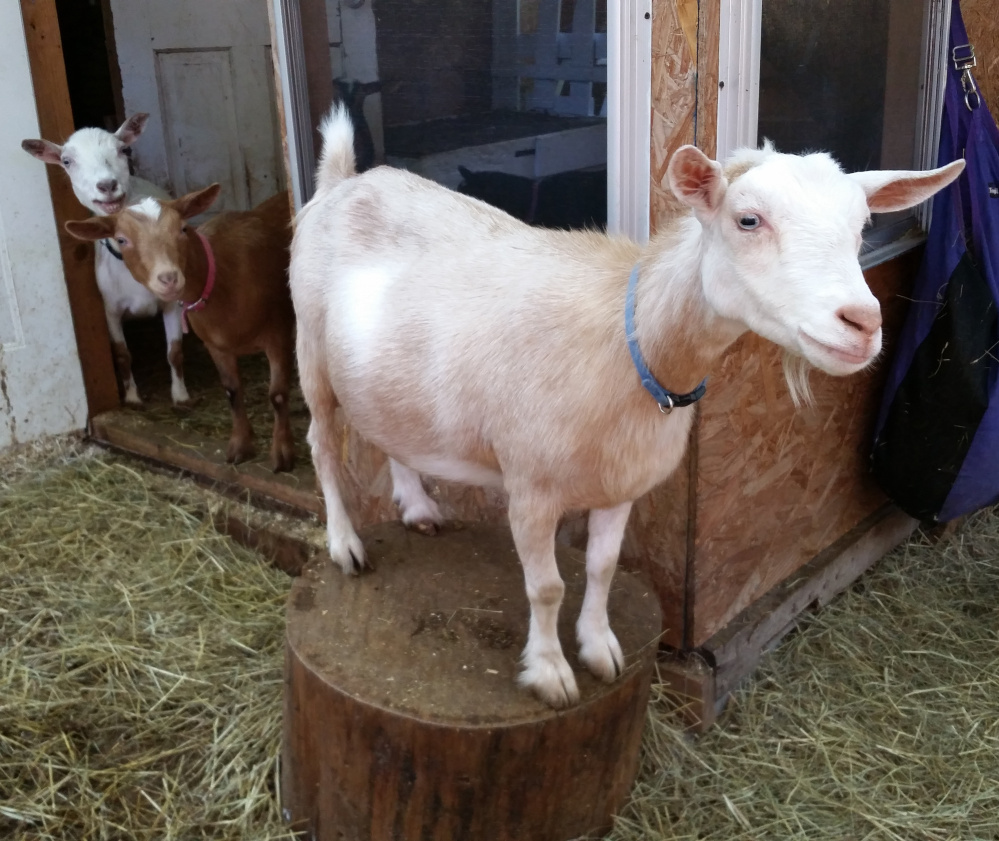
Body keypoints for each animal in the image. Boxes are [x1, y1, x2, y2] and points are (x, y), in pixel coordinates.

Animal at [21, 113, 189, 406]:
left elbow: (175, 352)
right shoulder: (110, 310)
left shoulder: (171, 304)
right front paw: (132, 398)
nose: (107, 185)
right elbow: (122, 355)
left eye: (124, 150)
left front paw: (181, 396)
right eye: (67, 161)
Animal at [64, 186, 292, 470]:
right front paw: (240, 446)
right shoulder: (216, 346)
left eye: (183, 229)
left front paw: (282, 454)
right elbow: (232, 392)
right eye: (121, 239)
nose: (169, 278)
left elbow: (277, 394)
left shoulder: (277, 334)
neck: (225, 280)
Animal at [292, 106, 964, 708]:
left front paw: (598, 650)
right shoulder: (530, 487)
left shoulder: (621, 481)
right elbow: (545, 587)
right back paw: (346, 545)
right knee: (324, 446)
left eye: (862, 228)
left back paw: (418, 508)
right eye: (748, 219)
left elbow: (603, 567)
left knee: (384, 430)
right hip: (309, 347)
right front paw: (550, 674)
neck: (629, 343)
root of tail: (344, 180)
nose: (863, 324)